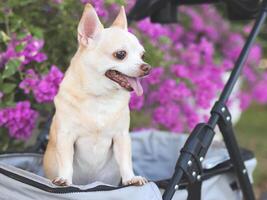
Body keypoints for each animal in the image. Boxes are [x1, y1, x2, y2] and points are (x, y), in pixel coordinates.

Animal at [43, 3, 151, 187]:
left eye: (142, 55)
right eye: (120, 54)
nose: (147, 67)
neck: (101, 96)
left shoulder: (121, 136)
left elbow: (125, 160)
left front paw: (130, 178)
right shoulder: (66, 136)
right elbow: (65, 161)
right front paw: (64, 179)